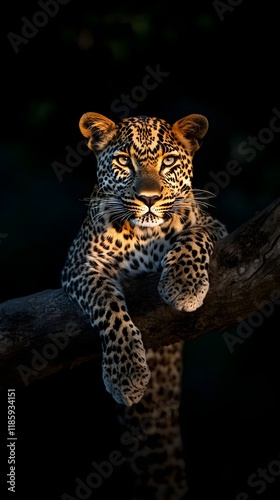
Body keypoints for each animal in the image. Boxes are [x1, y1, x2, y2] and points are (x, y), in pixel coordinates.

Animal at [61, 111, 228, 498]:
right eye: (125, 161)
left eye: (167, 162)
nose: (149, 198)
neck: (144, 235)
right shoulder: (80, 265)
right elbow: (108, 309)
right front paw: (125, 374)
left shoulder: (214, 225)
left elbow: (192, 235)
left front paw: (183, 284)